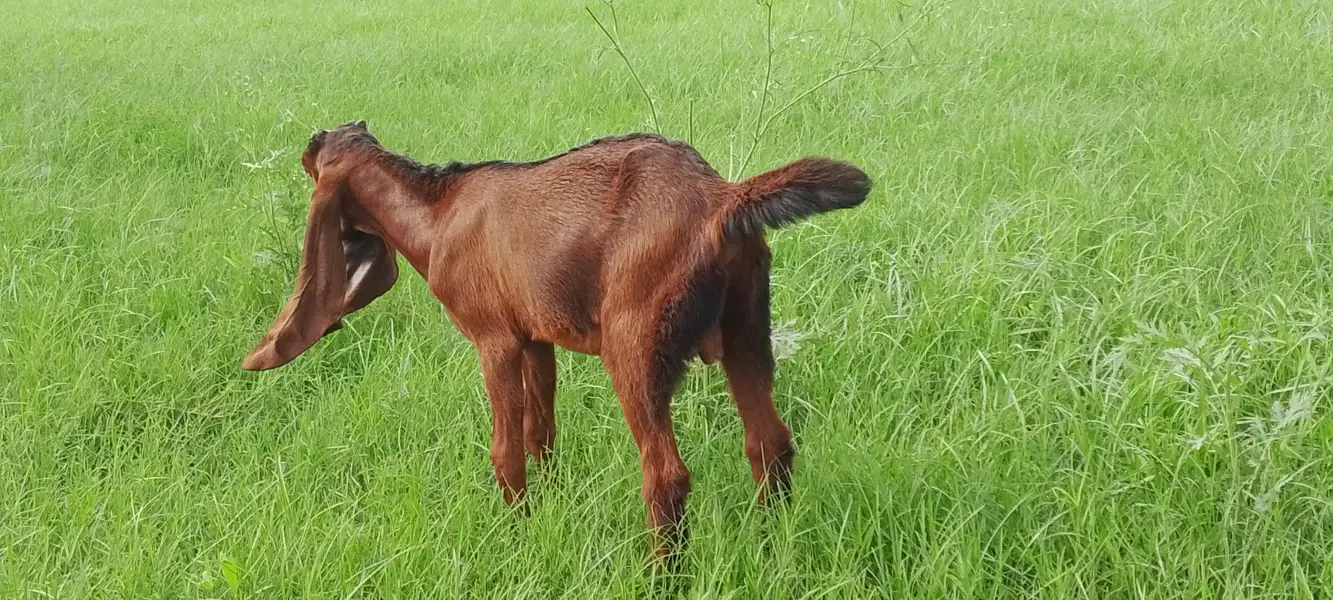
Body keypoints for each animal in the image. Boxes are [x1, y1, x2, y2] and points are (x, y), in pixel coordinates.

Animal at [240, 120, 870, 556]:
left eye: (317, 153)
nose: (306, 142)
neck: (436, 215)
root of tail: (720, 201)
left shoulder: (494, 339)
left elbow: (506, 449)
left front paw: (514, 533)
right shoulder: (537, 337)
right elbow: (540, 434)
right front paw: (549, 510)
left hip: (635, 348)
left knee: (666, 476)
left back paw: (663, 575)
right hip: (747, 330)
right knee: (770, 444)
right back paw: (771, 542)